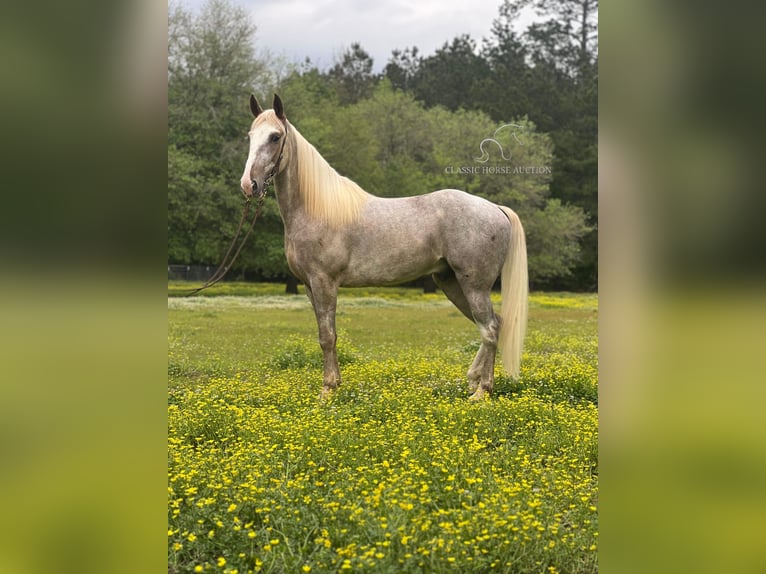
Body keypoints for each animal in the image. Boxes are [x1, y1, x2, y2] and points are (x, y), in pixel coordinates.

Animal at [240, 94, 528, 400]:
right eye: (250, 136)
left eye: (275, 137)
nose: (249, 185)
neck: (318, 208)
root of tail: (496, 208)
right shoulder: (309, 286)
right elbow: (326, 333)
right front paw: (336, 383)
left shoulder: (324, 282)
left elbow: (328, 336)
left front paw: (327, 390)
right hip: (451, 282)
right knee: (492, 324)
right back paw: (474, 379)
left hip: (474, 286)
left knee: (490, 329)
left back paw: (482, 392)